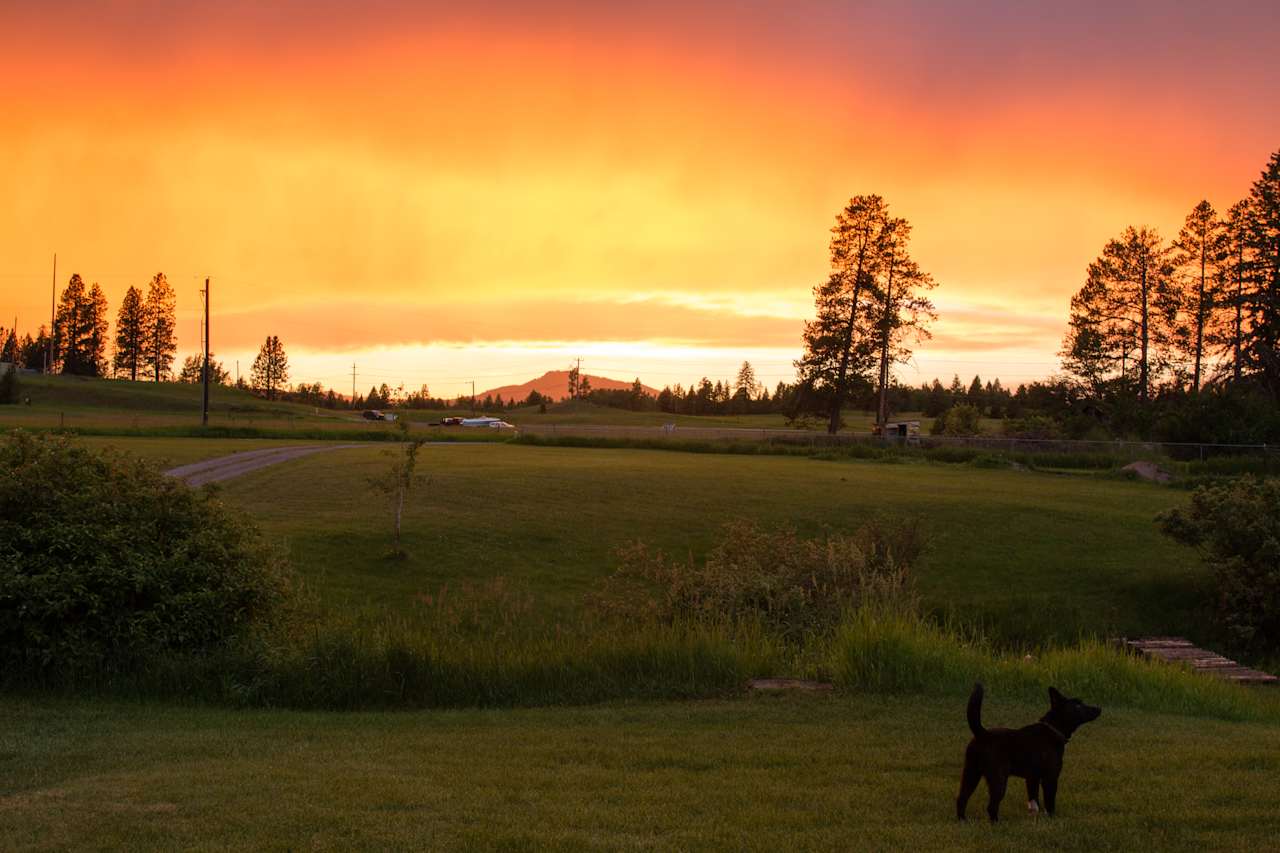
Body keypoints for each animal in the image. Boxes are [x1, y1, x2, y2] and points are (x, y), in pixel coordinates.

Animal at [962, 676, 1100, 819]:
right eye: (1078, 706)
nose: (1098, 708)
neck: (1053, 729)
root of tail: (982, 733)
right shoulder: (1050, 777)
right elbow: (1049, 802)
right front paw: (1051, 818)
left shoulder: (1032, 778)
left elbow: (1034, 801)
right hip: (998, 779)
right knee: (991, 807)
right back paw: (995, 822)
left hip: (971, 773)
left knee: (961, 799)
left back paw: (963, 820)